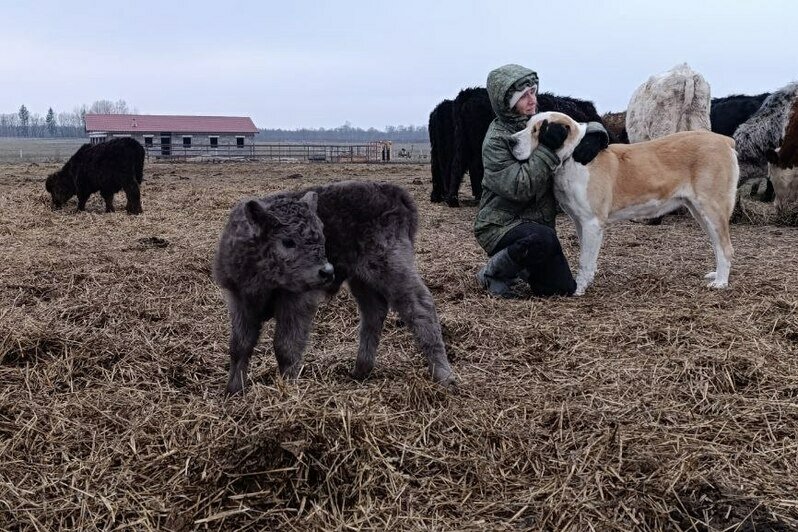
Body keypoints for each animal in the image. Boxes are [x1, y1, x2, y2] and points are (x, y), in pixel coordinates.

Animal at [214, 181, 456, 392]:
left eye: (322, 235)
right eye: (287, 241)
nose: (327, 271)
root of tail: (394, 192)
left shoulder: (297, 301)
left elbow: (285, 347)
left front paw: (288, 390)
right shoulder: (239, 302)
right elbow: (240, 346)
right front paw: (233, 391)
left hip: (392, 268)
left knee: (420, 308)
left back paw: (444, 376)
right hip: (362, 279)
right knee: (374, 313)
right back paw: (361, 371)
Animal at [516, 112, 740, 296]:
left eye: (536, 130)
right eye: (527, 126)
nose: (511, 141)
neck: (572, 158)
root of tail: (725, 140)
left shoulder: (591, 223)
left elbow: (584, 261)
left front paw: (579, 288)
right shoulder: (580, 222)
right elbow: (588, 255)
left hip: (712, 208)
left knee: (726, 247)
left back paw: (721, 282)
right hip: (700, 212)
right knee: (717, 245)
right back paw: (716, 274)